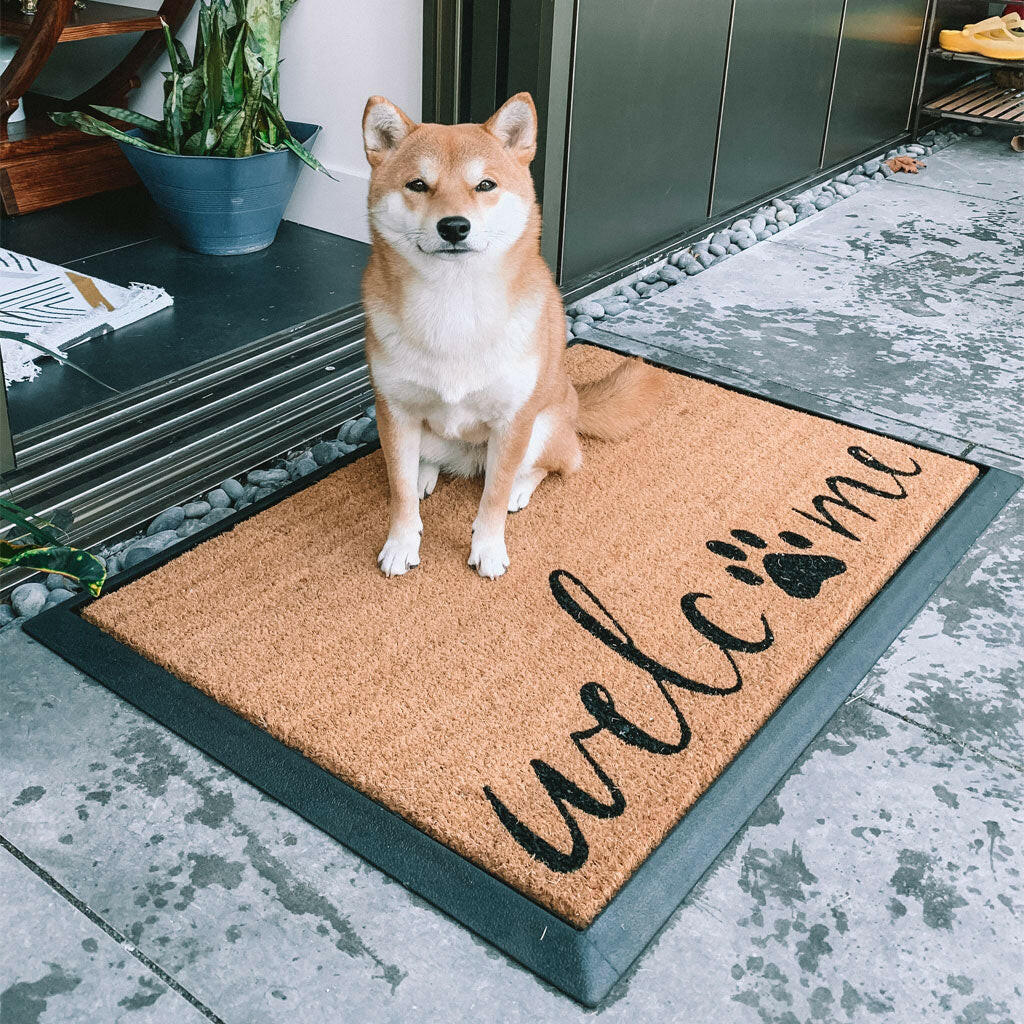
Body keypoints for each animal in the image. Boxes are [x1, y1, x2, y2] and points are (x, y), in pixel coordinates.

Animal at [360, 91, 663, 577]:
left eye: (485, 185)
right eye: (417, 185)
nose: (454, 226)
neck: (453, 304)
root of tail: (575, 400)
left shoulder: (513, 421)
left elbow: (493, 496)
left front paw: (487, 548)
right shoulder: (395, 412)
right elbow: (400, 491)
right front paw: (402, 543)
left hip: (543, 426)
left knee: (559, 462)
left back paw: (523, 486)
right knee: (422, 463)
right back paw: (425, 473)